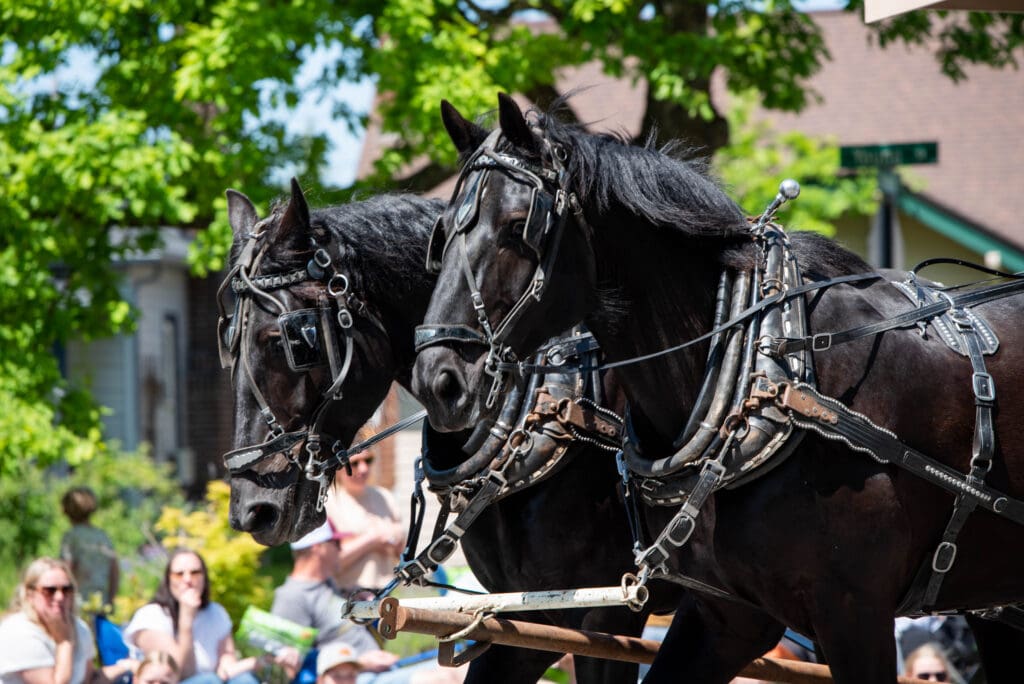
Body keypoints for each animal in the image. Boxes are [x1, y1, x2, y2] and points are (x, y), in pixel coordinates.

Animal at [407, 96, 1024, 684]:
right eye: (443, 235)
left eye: (518, 226)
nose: (438, 379)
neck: (773, 363)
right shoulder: (722, 617)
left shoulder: (852, 614)